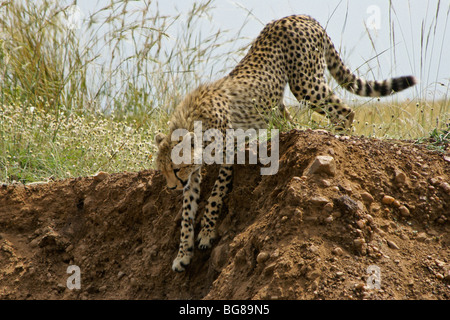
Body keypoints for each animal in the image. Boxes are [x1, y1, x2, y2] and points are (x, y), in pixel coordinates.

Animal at [154, 13, 414, 272]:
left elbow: (216, 194)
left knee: (344, 111)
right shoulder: (194, 173)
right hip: (281, 102)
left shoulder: (228, 153)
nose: (171, 188)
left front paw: (207, 233)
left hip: (305, 82)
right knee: (293, 120)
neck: (193, 120)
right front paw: (183, 253)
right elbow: (187, 213)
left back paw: (341, 135)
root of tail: (300, 16)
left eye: (175, 169)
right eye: (163, 171)